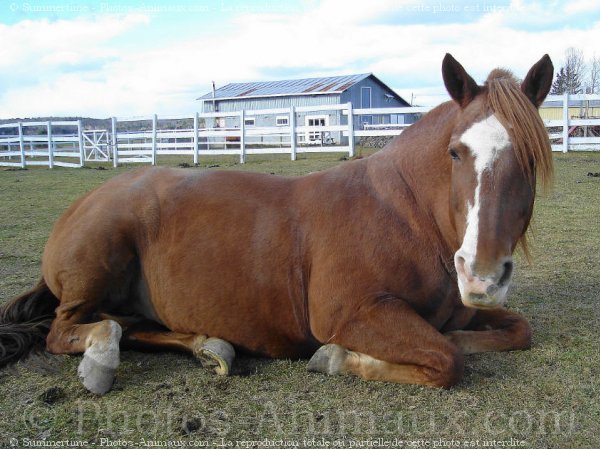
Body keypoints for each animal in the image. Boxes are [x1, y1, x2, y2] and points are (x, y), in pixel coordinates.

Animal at [0, 54, 552, 394]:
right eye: (456, 152)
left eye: (528, 158)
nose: (481, 276)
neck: (404, 215)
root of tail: (83, 202)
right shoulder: (354, 315)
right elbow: (445, 360)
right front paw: (338, 358)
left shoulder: (463, 313)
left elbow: (515, 330)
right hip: (96, 268)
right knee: (72, 329)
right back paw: (100, 358)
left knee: (133, 325)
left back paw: (208, 347)